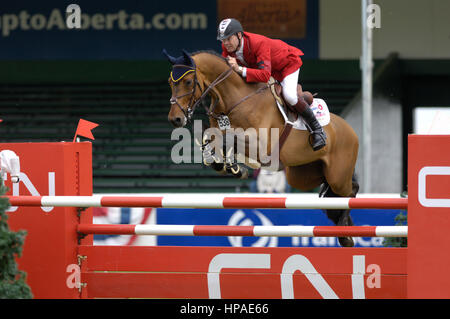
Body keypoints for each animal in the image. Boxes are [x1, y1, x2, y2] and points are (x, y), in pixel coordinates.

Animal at [164, 49, 358, 248]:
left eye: (188, 82)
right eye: (170, 82)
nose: (175, 119)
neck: (233, 99)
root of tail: (349, 128)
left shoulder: (261, 145)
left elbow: (226, 139)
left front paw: (231, 167)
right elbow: (211, 141)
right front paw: (229, 167)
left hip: (337, 175)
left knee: (349, 192)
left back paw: (345, 234)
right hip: (303, 176)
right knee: (338, 194)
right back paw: (343, 228)